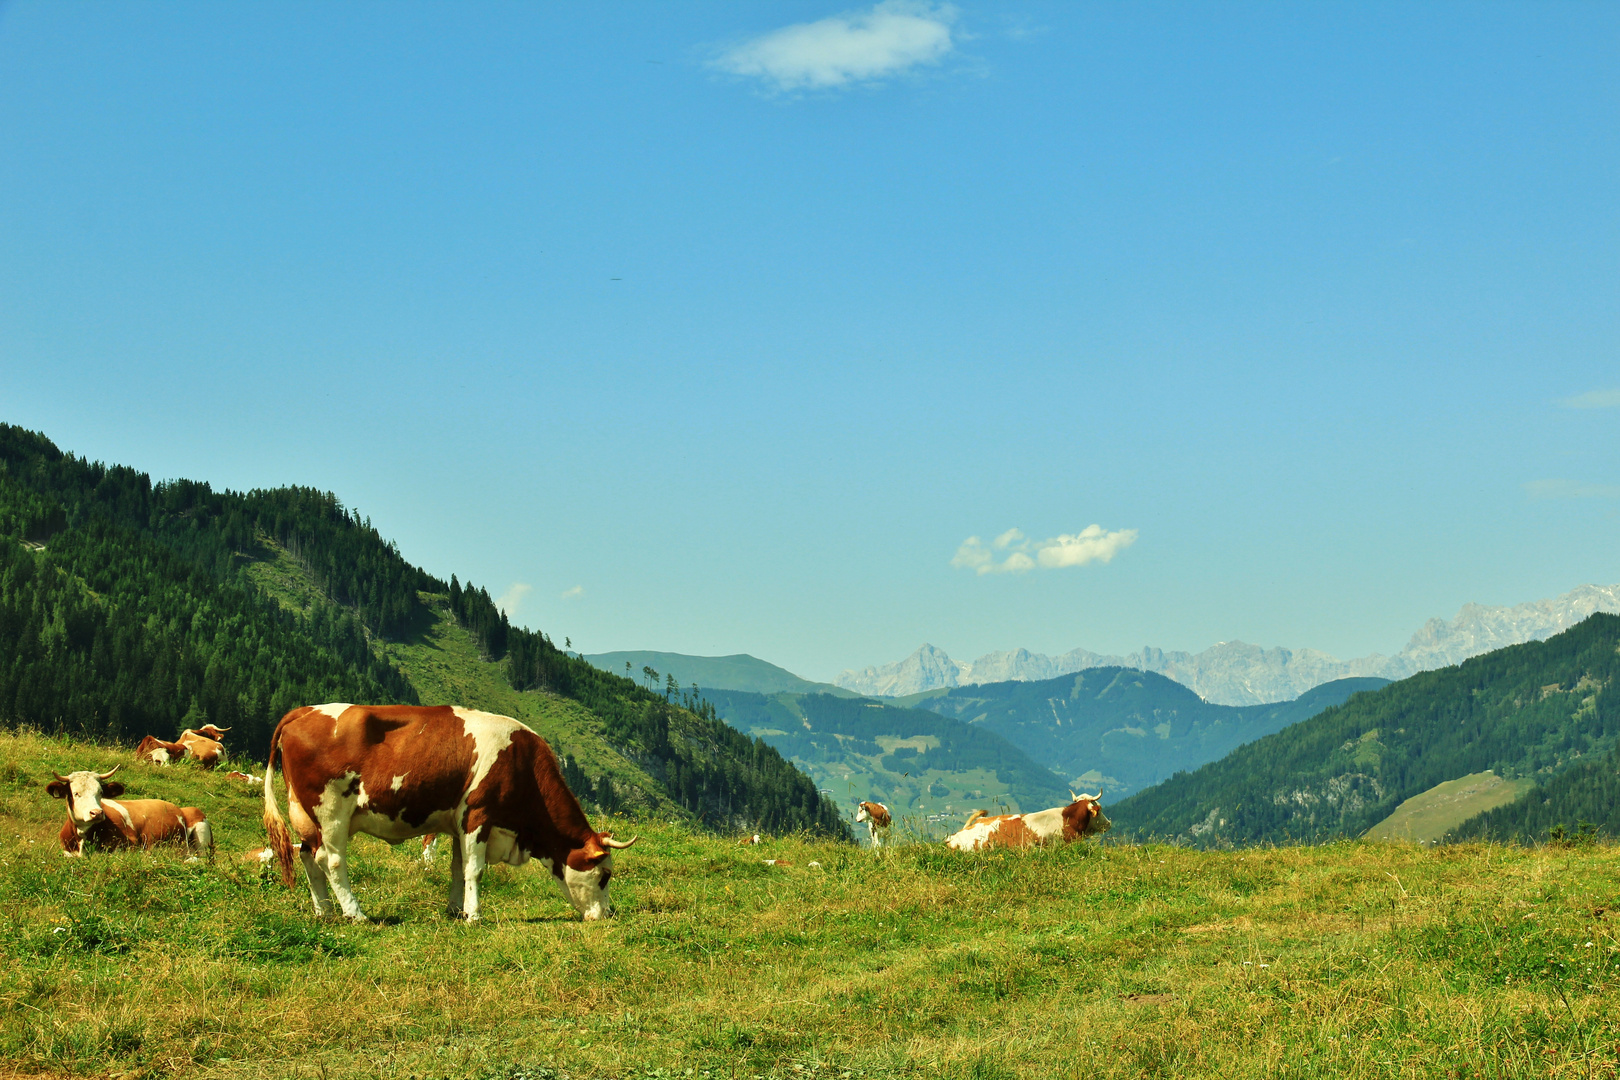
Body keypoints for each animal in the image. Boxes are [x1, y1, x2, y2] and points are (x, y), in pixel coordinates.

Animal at [47, 767, 213, 861]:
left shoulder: (130, 845)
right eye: (76, 793)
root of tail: (180, 808)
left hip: (200, 836)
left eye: (100, 792)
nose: (97, 813)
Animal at [262, 705, 635, 926]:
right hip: (331, 811)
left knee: (308, 856)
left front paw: (456, 910)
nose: (607, 915)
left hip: (304, 815)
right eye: (605, 876)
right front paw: (474, 916)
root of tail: (304, 711)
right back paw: (356, 914)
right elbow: (475, 870)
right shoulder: (479, 815)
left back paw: (323, 911)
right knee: (333, 861)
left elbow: (458, 868)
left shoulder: (458, 823)